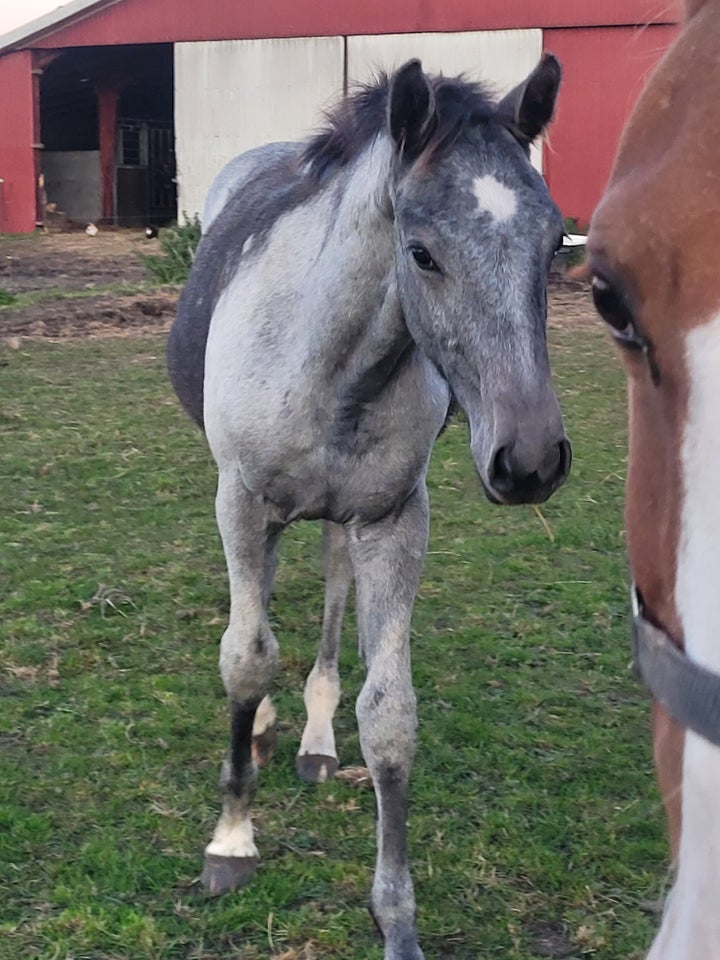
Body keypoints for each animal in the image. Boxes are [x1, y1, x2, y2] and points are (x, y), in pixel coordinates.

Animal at [166, 56, 572, 956]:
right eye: (421, 253)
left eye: (553, 246)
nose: (529, 461)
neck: (330, 366)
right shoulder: (239, 499)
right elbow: (245, 655)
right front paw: (231, 839)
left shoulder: (394, 520)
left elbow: (389, 719)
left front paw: (397, 922)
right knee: (263, 602)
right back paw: (266, 723)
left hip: (343, 520)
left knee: (328, 588)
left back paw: (315, 737)